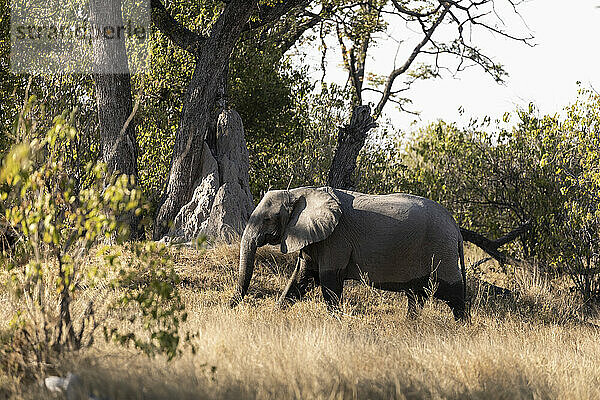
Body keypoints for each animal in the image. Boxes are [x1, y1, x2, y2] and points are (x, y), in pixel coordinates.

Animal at [230, 186, 468, 320]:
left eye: (268, 219)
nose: (231, 307)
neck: (299, 193)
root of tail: (455, 227)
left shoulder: (336, 239)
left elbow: (329, 282)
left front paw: (336, 325)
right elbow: (298, 282)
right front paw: (274, 317)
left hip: (440, 249)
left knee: (453, 292)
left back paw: (462, 328)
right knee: (416, 294)